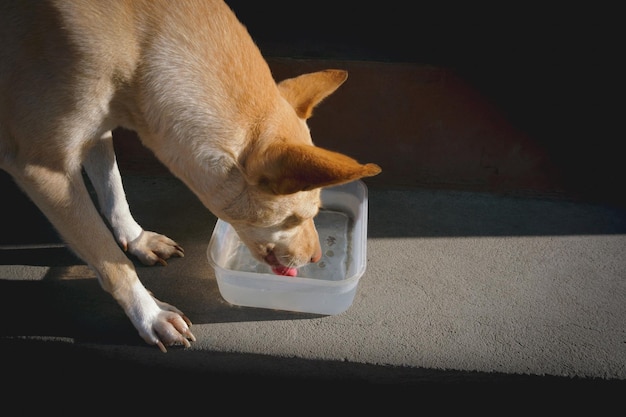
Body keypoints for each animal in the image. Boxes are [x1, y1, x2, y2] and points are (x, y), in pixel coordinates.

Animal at [0, 0, 380, 352]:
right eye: (297, 218)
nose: (315, 258)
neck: (142, 47)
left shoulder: (97, 129)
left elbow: (114, 189)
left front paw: (136, 239)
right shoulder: (44, 167)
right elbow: (110, 259)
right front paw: (150, 314)